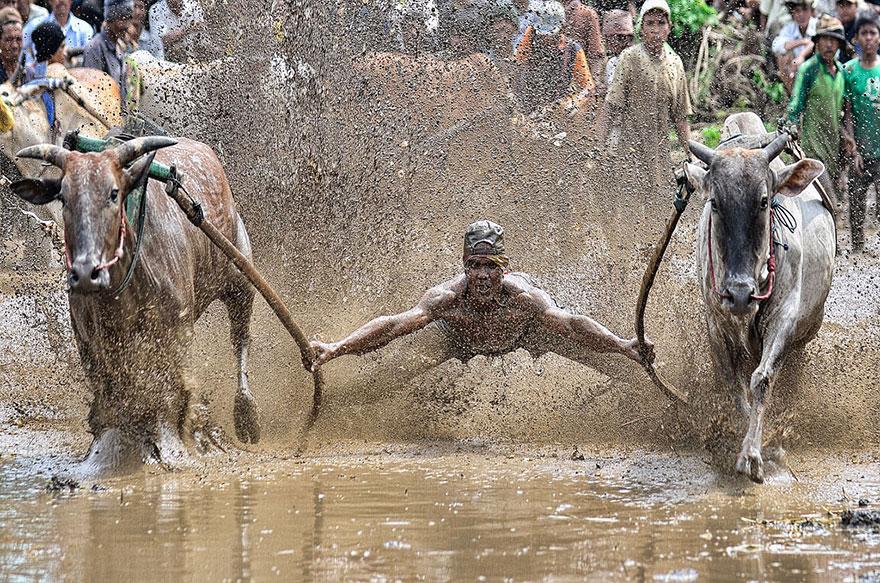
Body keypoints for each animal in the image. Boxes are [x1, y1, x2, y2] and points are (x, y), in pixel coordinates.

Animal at [11, 137, 258, 480]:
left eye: (114, 193)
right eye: (63, 195)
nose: (85, 273)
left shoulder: (176, 329)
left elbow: (171, 390)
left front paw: (172, 447)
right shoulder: (89, 340)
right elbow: (111, 392)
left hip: (240, 280)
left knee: (240, 341)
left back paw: (247, 413)